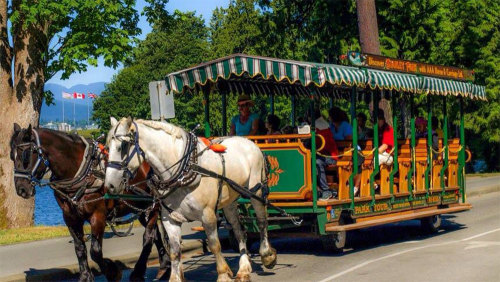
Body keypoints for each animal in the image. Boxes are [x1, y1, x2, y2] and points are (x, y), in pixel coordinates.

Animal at [9, 124, 170, 282]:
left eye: (26, 155)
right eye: (11, 155)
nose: (21, 189)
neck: (81, 171)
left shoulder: (98, 215)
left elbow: (95, 251)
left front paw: (112, 272)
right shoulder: (70, 217)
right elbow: (79, 247)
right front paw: (85, 276)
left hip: (153, 204)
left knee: (148, 237)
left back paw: (139, 271)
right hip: (140, 208)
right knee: (156, 234)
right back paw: (164, 266)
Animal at [105, 117, 278, 282]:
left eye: (124, 146)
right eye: (107, 147)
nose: (109, 185)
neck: (181, 171)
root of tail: (249, 142)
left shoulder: (207, 214)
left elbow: (214, 245)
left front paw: (223, 274)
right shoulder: (170, 218)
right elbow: (175, 251)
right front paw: (174, 277)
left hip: (256, 192)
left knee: (262, 222)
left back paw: (267, 255)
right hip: (230, 201)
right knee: (239, 230)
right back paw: (243, 269)